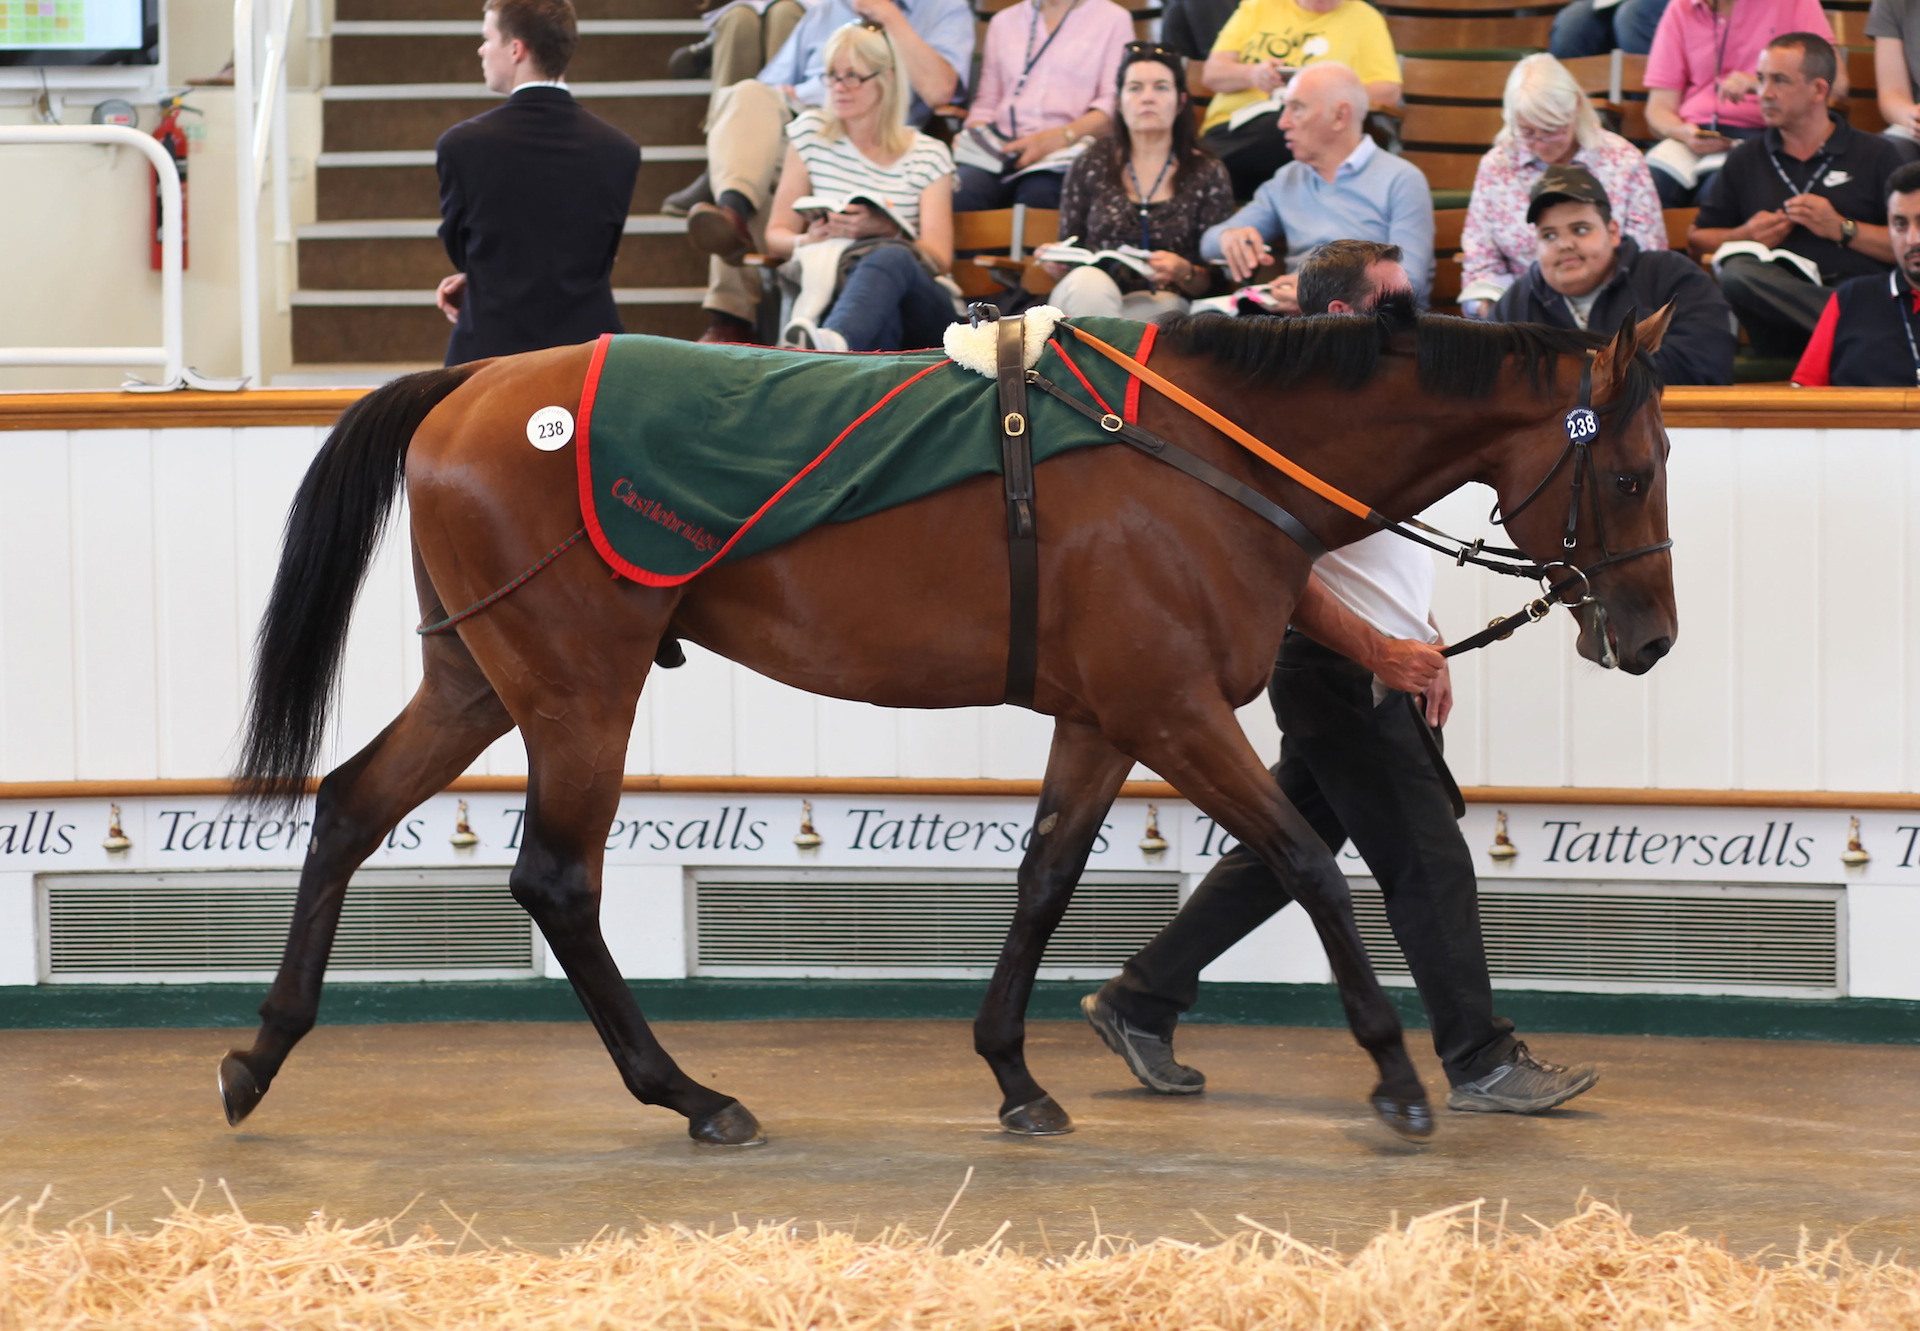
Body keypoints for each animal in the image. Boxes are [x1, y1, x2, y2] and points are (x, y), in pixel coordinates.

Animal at [217, 301, 1674, 1144]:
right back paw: (690, 1093)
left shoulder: (1104, 713)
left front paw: (1015, 1071)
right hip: (579, 686)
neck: (1203, 455)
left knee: (350, 805)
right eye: (1633, 470)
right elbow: (1313, 862)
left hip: (478, 676)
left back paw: (260, 1052)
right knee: (557, 879)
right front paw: (1396, 1074)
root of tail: (467, 384)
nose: (1650, 636)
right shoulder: (1173, 707)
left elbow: (1043, 878)